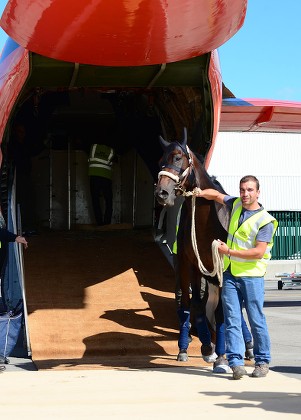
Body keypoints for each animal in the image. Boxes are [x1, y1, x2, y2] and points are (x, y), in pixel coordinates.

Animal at [155, 128, 230, 370]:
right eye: (160, 161)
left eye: (178, 157)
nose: (162, 193)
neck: (205, 219)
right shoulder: (192, 264)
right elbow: (194, 304)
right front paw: (203, 348)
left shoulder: (221, 269)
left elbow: (221, 312)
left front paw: (220, 355)